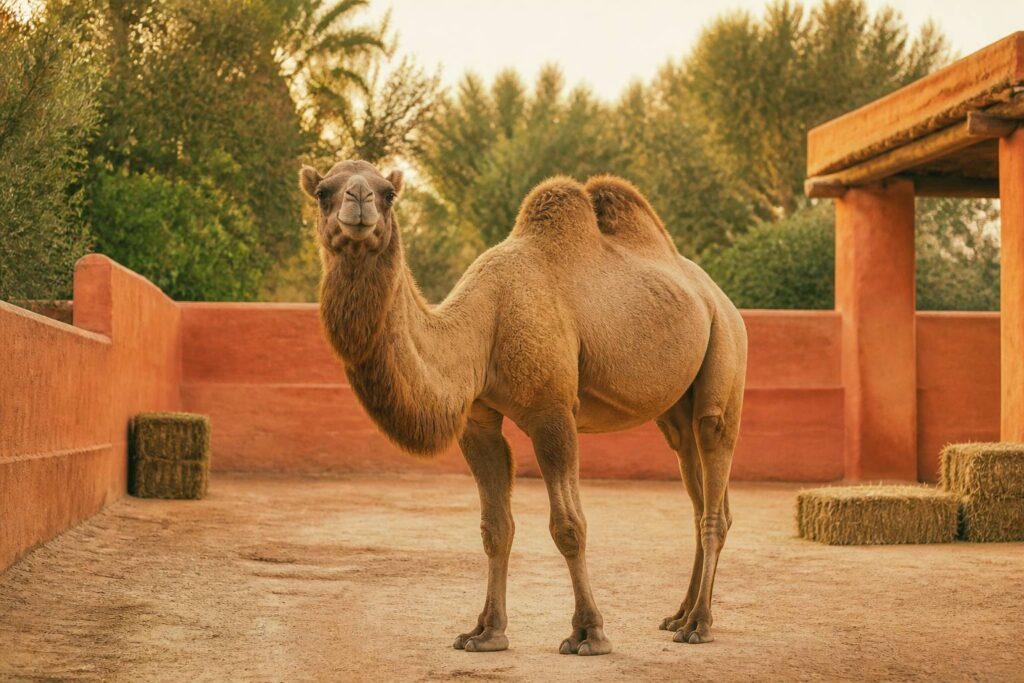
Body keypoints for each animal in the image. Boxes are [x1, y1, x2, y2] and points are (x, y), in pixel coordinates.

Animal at [300, 159, 747, 656]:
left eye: (387, 193)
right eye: (323, 191)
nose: (358, 201)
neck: (484, 325)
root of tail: (720, 298)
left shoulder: (552, 411)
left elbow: (569, 526)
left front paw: (589, 633)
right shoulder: (478, 421)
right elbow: (495, 528)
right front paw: (485, 632)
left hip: (726, 355)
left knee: (713, 480)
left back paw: (699, 624)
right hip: (676, 412)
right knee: (696, 483)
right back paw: (679, 615)